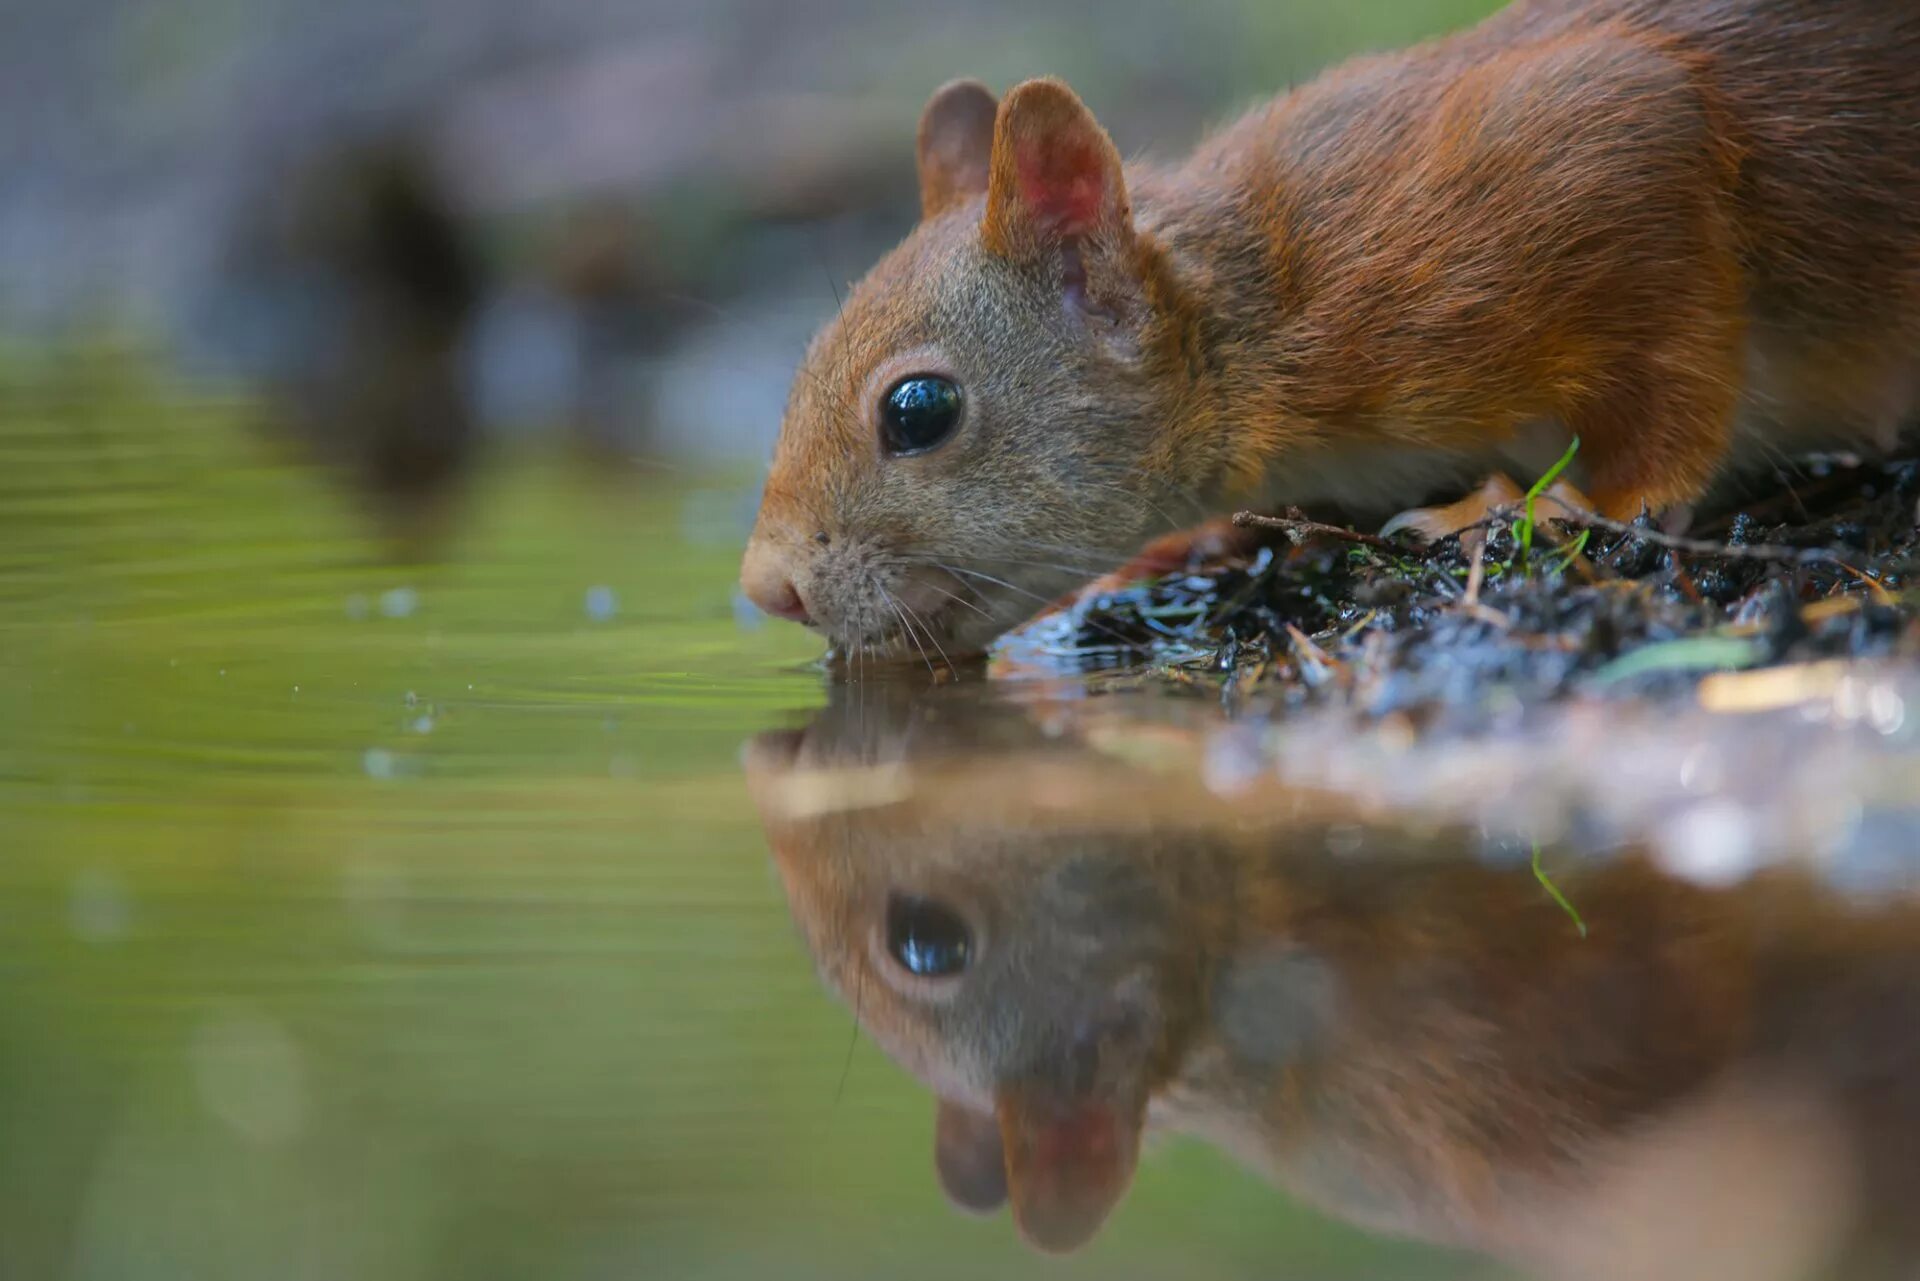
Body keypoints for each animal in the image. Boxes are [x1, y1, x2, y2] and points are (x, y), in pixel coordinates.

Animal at [741, 0, 1920, 660]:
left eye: (919, 410)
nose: (767, 590)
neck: (1256, 325)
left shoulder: (1600, 155)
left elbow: (1670, 397)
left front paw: (1551, 502)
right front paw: (1188, 545)